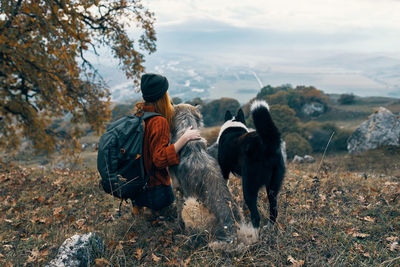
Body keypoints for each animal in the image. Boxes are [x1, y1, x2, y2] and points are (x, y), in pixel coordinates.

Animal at [219, 100, 284, 228]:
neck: (233, 126)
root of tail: (267, 144)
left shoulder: (224, 169)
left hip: (249, 185)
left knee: (256, 216)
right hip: (273, 187)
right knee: (274, 210)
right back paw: (270, 227)